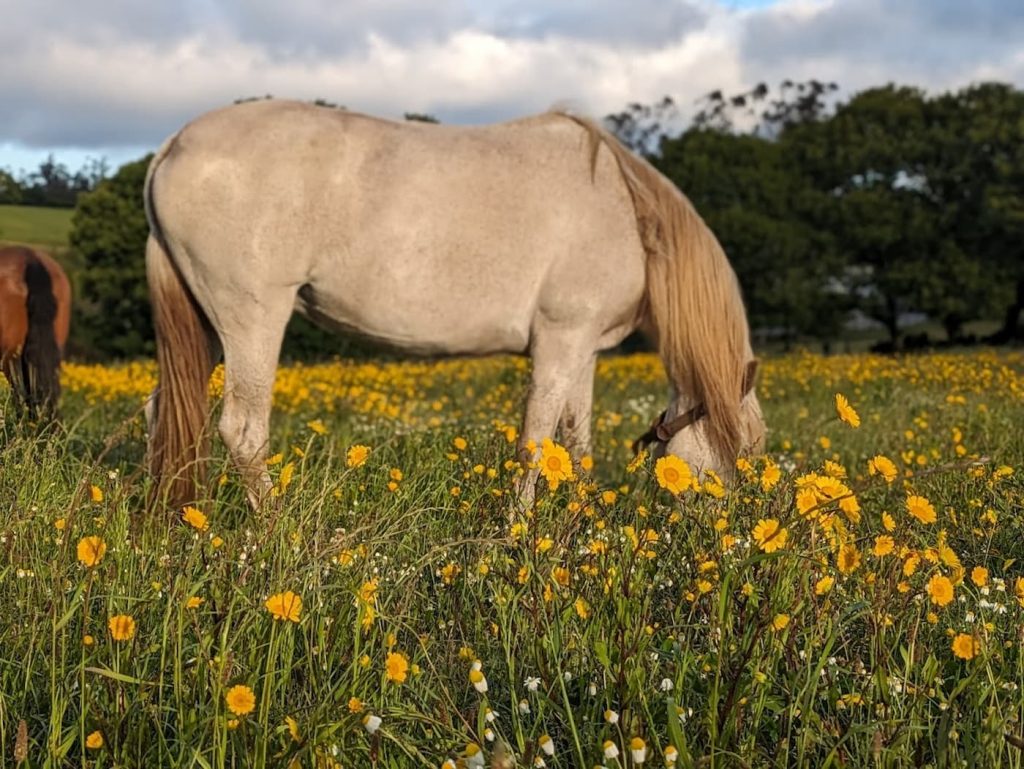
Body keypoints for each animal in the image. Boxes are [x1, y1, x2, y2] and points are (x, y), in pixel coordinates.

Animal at [143, 100, 765, 510]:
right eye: (736, 453)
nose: (727, 536)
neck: (630, 214)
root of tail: (175, 145)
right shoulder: (560, 340)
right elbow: (536, 445)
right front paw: (521, 531)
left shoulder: (583, 351)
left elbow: (575, 444)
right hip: (253, 320)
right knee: (243, 431)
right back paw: (275, 531)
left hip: (206, 328)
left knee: (164, 416)